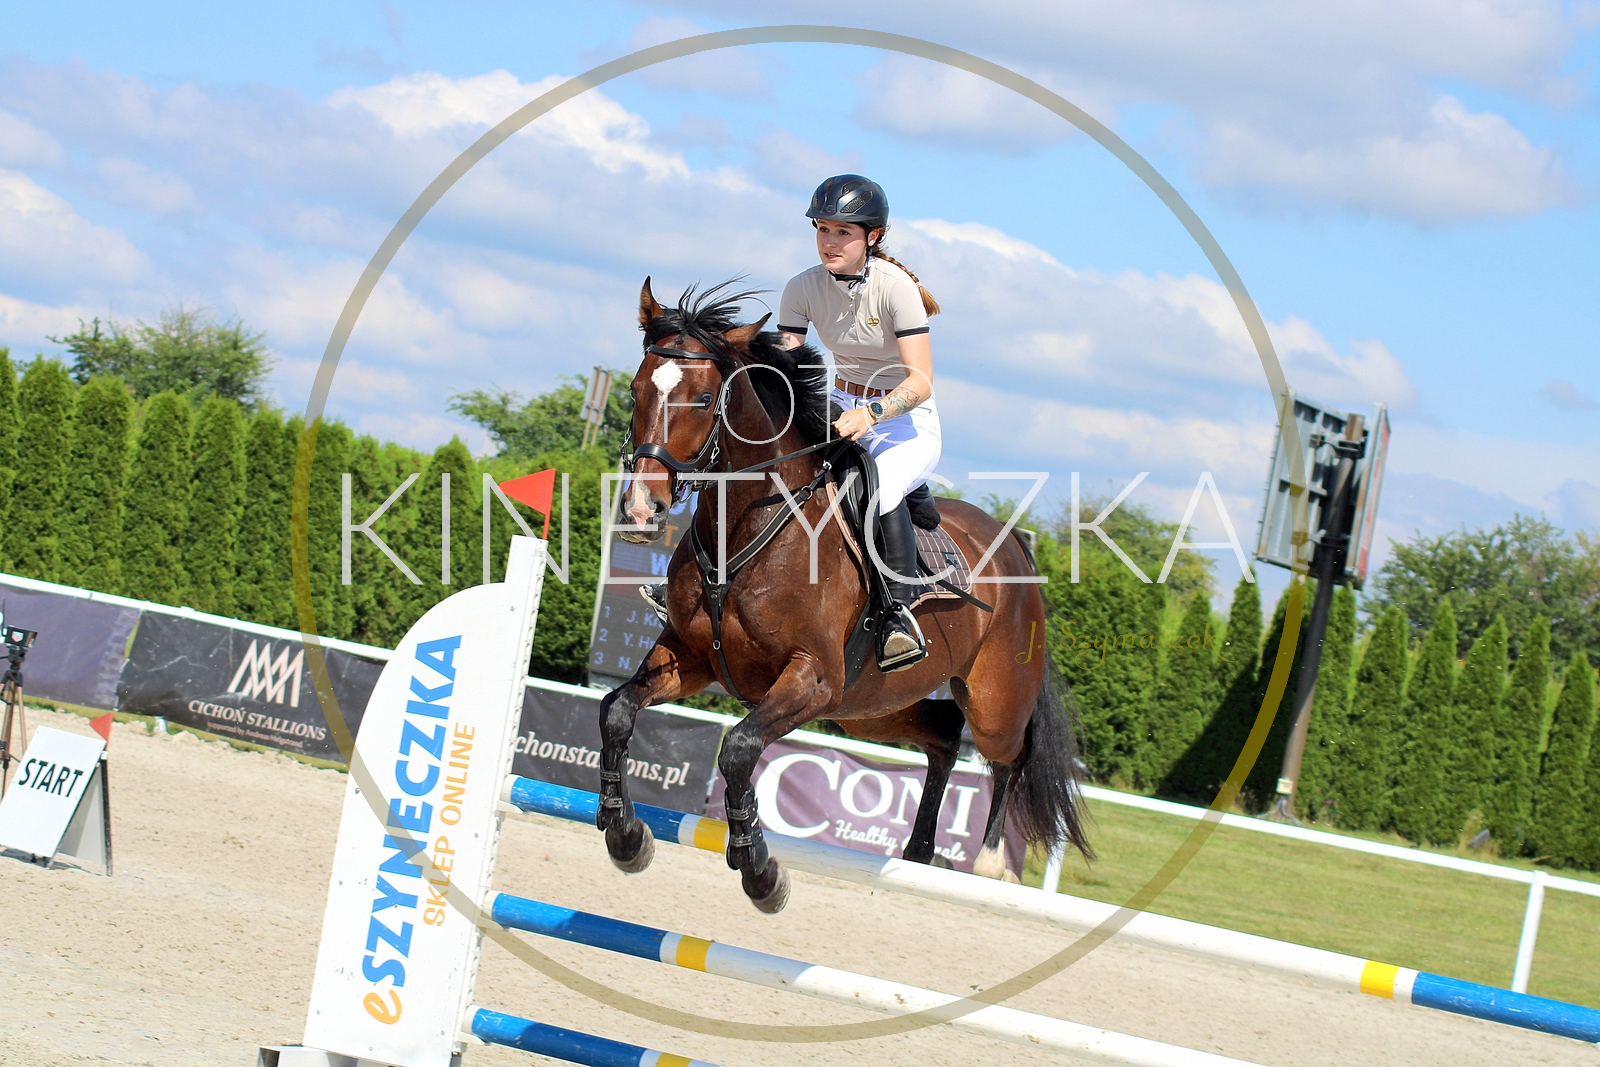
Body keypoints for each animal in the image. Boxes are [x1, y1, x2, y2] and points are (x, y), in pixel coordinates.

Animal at [596, 278, 1092, 913]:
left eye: (705, 399)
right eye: (637, 390)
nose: (642, 512)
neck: (748, 526)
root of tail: (1014, 547)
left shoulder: (813, 678)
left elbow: (739, 749)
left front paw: (760, 870)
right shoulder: (690, 659)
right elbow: (616, 711)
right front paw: (625, 836)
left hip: (989, 702)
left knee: (1009, 756)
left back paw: (990, 866)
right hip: (872, 706)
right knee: (942, 737)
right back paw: (919, 852)